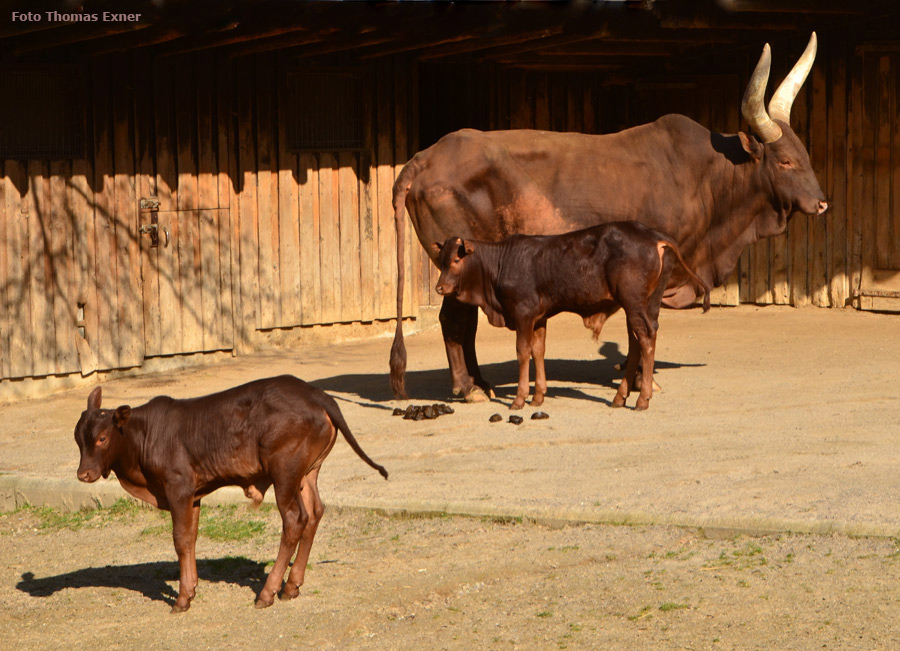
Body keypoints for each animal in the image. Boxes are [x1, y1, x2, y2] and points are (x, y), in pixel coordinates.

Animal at [73, 374, 386, 612]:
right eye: (78, 439)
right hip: (307, 473)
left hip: (284, 473)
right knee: (315, 513)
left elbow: (180, 539)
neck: (143, 437)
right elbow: (191, 538)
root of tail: (316, 394)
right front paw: (191, 587)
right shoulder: (194, 494)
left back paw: (268, 592)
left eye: (102, 438)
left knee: (295, 519)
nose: (83, 474)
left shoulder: (178, 488)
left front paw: (182, 598)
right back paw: (292, 585)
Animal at [436, 222, 712, 410]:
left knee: (645, 337)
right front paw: (538, 395)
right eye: (441, 261)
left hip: (633, 303)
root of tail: (654, 236)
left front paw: (520, 398)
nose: (440, 287)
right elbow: (538, 350)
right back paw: (620, 396)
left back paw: (642, 398)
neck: (502, 263)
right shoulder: (539, 318)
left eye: (457, 260)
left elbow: (523, 352)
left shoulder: (523, 314)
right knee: (637, 342)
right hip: (645, 304)